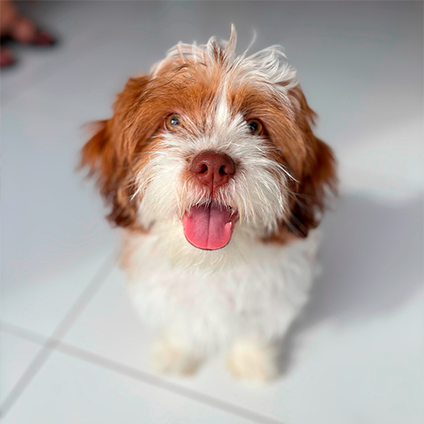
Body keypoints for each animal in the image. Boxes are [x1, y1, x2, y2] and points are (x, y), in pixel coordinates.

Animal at [81, 27, 337, 382]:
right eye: (173, 122)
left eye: (254, 127)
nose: (213, 165)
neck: (210, 265)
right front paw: (177, 351)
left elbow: (257, 323)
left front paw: (251, 359)